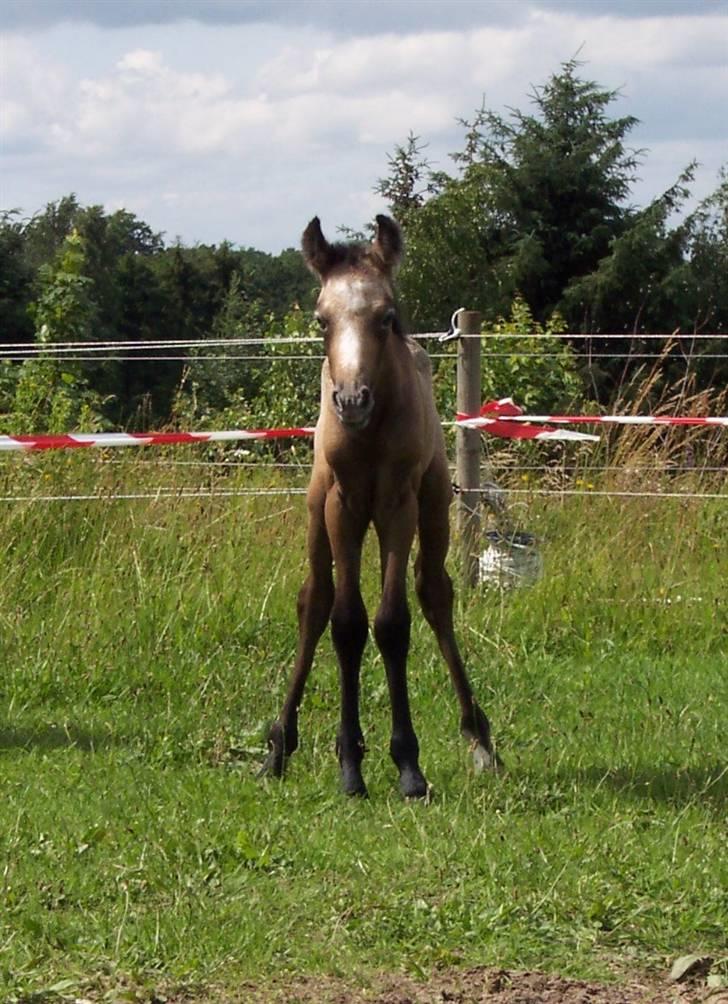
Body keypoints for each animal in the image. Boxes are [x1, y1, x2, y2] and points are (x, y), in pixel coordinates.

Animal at [259, 215, 494, 795]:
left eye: (386, 317)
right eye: (322, 320)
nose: (350, 401)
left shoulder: (396, 506)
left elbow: (391, 622)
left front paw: (408, 764)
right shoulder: (342, 506)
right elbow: (345, 622)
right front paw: (350, 763)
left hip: (432, 509)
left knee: (434, 594)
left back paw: (479, 738)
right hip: (317, 516)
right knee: (315, 601)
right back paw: (279, 745)